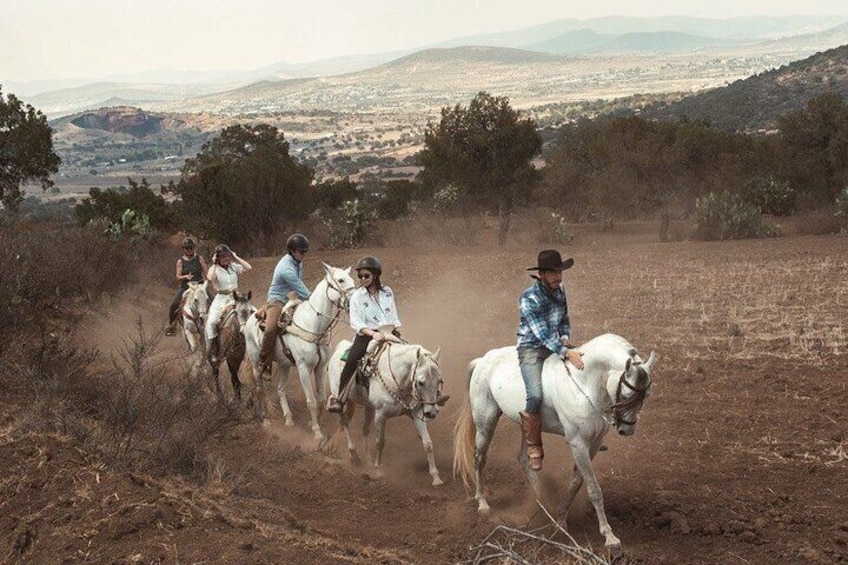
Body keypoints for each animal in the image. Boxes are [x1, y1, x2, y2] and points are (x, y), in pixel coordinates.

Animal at [245, 262, 354, 438]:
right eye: (341, 280)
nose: (354, 301)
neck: (314, 326)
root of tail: (250, 319)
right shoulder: (303, 368)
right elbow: (311, 401)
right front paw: (316, 431)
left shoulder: (320, 367)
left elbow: (321, 399)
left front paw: (313, 423)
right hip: (256, 364)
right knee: (260, 389)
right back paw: (266, 421)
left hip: (285, 365)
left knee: (281, 389)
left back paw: (289, 419)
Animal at [324, 340, 448, 484]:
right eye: (420, 382)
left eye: (440, 380)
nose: (431, 412)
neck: (398, 381)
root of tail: (339, 347)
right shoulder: (381, 415)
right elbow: (380, 442)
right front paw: (378, 471)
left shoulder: (416, 413)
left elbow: (427, 443)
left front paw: (436, 477)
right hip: (341, 399)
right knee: (345, 423)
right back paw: (354, 455)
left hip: (368, 407)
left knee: (365, 429)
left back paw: (368, 461)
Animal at [458, 332, 656, 548]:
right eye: (627, 395)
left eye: (646, 395)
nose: (627, 429)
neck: (583, 383)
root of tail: (482, 360)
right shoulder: (578, 443)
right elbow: (593, 489)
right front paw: (609, 536)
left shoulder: (594, 443)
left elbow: (577, 481)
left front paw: (560, 519)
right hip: (486, 423)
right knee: (480, 458)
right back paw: (483, 504)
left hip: (525, 423)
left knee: (524, 459)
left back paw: (543, 502)